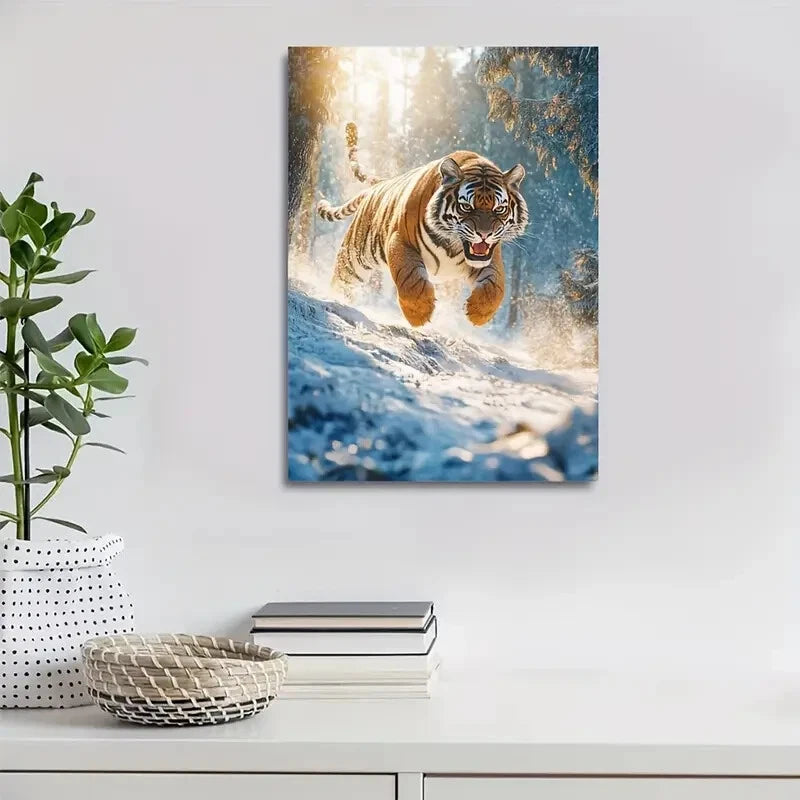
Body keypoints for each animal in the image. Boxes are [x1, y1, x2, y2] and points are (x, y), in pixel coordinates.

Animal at [317, 123, 528, 327]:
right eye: (466, 206)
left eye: (499, 209)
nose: (484, 234)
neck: (454, 245)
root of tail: (379, 185)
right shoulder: (400, 240)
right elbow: (410, 277)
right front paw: (419, 313)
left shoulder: (489, 256)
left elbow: (496, 287)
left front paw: (478, 313)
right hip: (355, 257)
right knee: (341, 279)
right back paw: (336, 300)